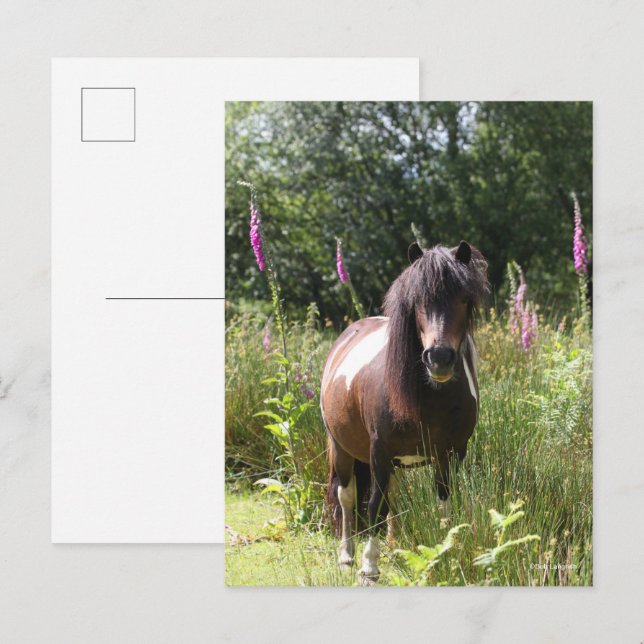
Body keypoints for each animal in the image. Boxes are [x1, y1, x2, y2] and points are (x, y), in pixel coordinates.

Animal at [320, 240, 489, 582]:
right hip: (342, 449)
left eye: (464, 298)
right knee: (347, 496)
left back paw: (394, 545)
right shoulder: (379, 452)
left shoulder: (452, 454)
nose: (439, 358)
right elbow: (373, 505)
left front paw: (444, 554)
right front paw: (369, 567)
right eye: (417, 300)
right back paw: (346, 556)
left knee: (393, 496)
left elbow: (444, 504)